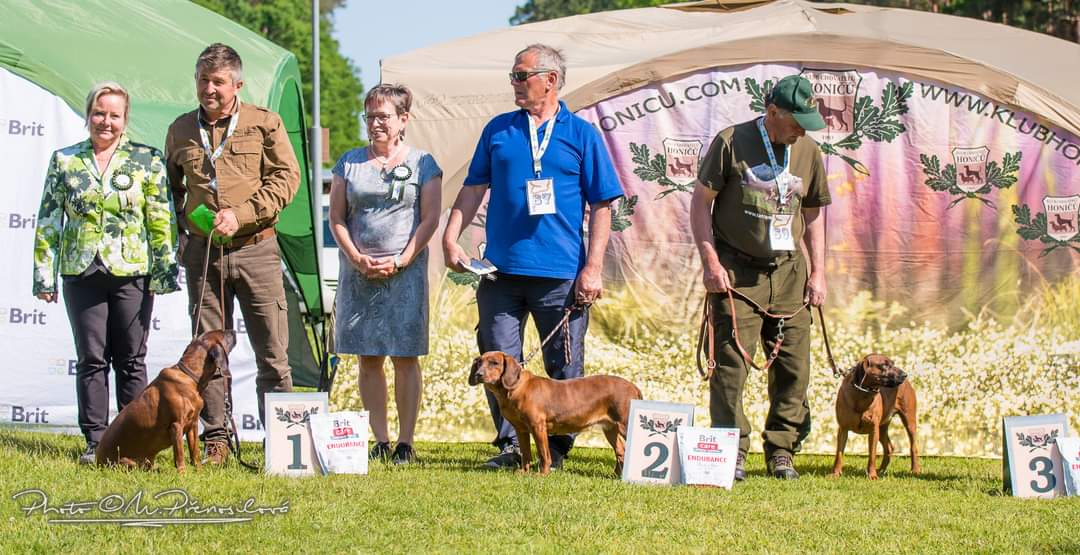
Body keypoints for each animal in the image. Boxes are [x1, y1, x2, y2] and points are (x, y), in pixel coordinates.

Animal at [96, 330, 237, 468]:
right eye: (225, 334)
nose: (234, 331)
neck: (190, 377)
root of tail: (98, 462)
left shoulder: (192, 425)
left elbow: (195, 453)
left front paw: (199, 471)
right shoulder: (176, 425)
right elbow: (179, 455)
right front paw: (182, 473)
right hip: (127, 463)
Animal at [466, 352, 639, 472]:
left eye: (494, 363)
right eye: (479, 363)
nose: (478, 374)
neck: (516, 388)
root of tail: (634, 387)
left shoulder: (538, 427)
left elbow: (544, 454)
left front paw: (542, 474)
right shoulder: (521, 430)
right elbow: (526, 454)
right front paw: (523, 472)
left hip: (625, 426)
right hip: (610, 429)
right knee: (621, 452)